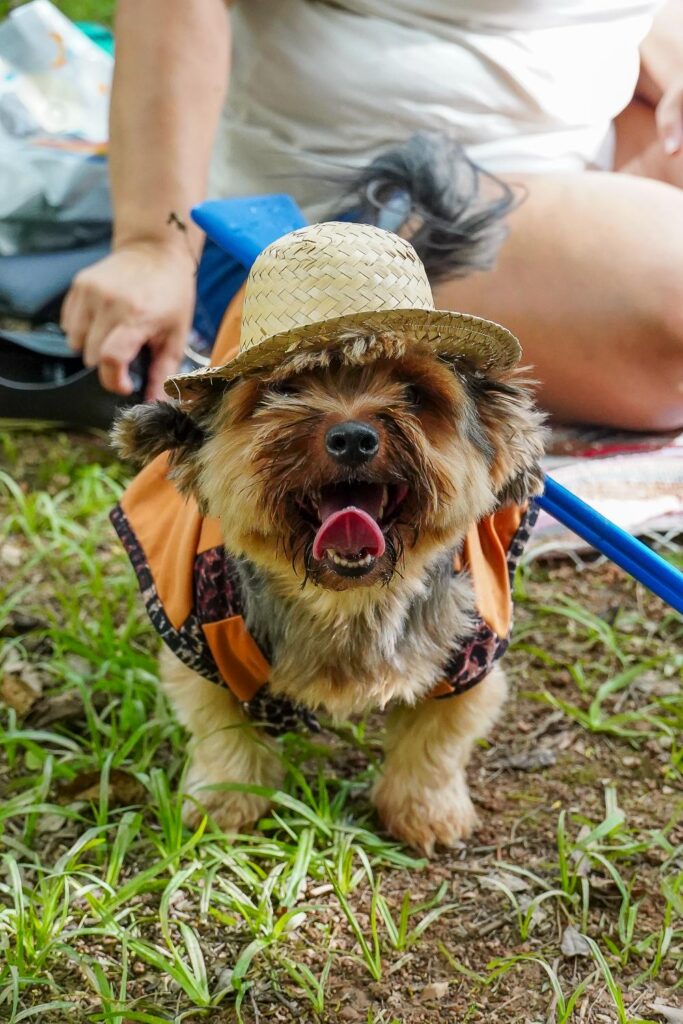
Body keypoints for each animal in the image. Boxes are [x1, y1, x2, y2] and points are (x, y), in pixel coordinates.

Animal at [111, 214, 545, 856]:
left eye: (414, 393)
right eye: (285, 390)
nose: (353, 437)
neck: (347, 600)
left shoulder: (472, 653)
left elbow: (437, 745)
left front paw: (426, 814)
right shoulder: (199, 638)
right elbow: (220, 730)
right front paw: (225, 804)